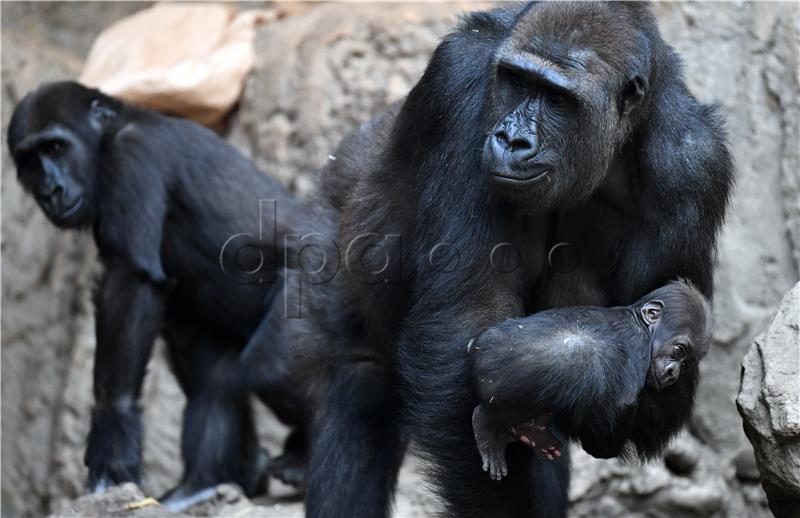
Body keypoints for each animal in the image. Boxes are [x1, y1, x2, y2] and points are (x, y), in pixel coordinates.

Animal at [468, 282, 712, 482]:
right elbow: (623, 403)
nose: (674, 372)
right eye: (678, 350)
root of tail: (475, 348)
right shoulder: (639, 345)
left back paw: (532, 433)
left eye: (686, 364)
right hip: (499, 379)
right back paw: (486, 425)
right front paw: (603, 448)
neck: (640, 323)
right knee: (577, 356)